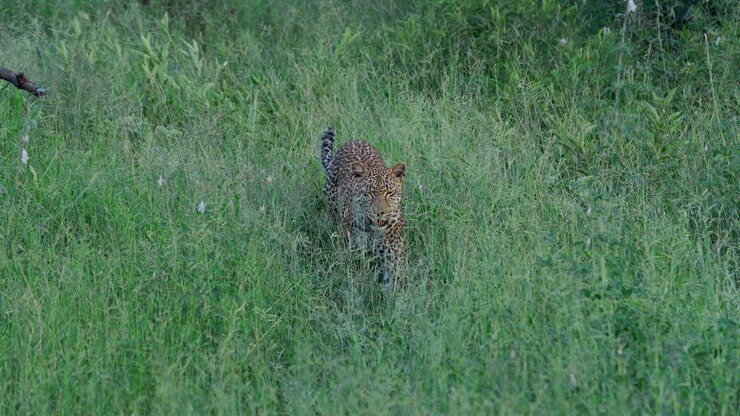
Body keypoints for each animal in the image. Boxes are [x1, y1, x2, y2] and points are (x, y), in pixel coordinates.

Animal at [320, 127, 406, 289]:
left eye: (389, 193)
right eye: (368, 194)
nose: (379, 213)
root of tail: (355, 140)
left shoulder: (394, 258)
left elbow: (396, 281)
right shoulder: (351, 253)